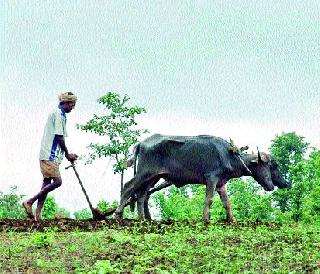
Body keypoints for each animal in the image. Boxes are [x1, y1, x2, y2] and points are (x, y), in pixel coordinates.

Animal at [115, 134, 288, 224]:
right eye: (273, 165)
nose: (274, 186)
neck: (229, 155)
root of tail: (141, 143)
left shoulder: (221, 183)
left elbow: (226, 202)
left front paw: (231, 220)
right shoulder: (211, 178)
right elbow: (209, 200)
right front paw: (206, 220)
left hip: (153, 177)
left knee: (142, 194)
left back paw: (143, 219)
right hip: (145, 173)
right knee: (128, 187)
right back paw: (118, 214)